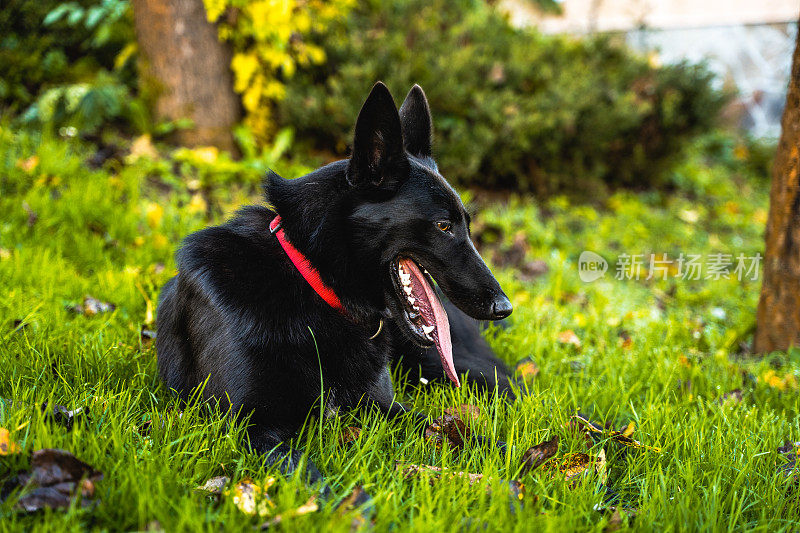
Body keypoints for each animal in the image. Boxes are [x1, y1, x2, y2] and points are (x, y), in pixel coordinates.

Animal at [155, 82, 516, 494]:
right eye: (444, 226)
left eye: (467, 225)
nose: (504, 307)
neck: (315, 287)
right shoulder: (252, 429)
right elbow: (317, 483)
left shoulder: (386, 407)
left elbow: (456, 433)